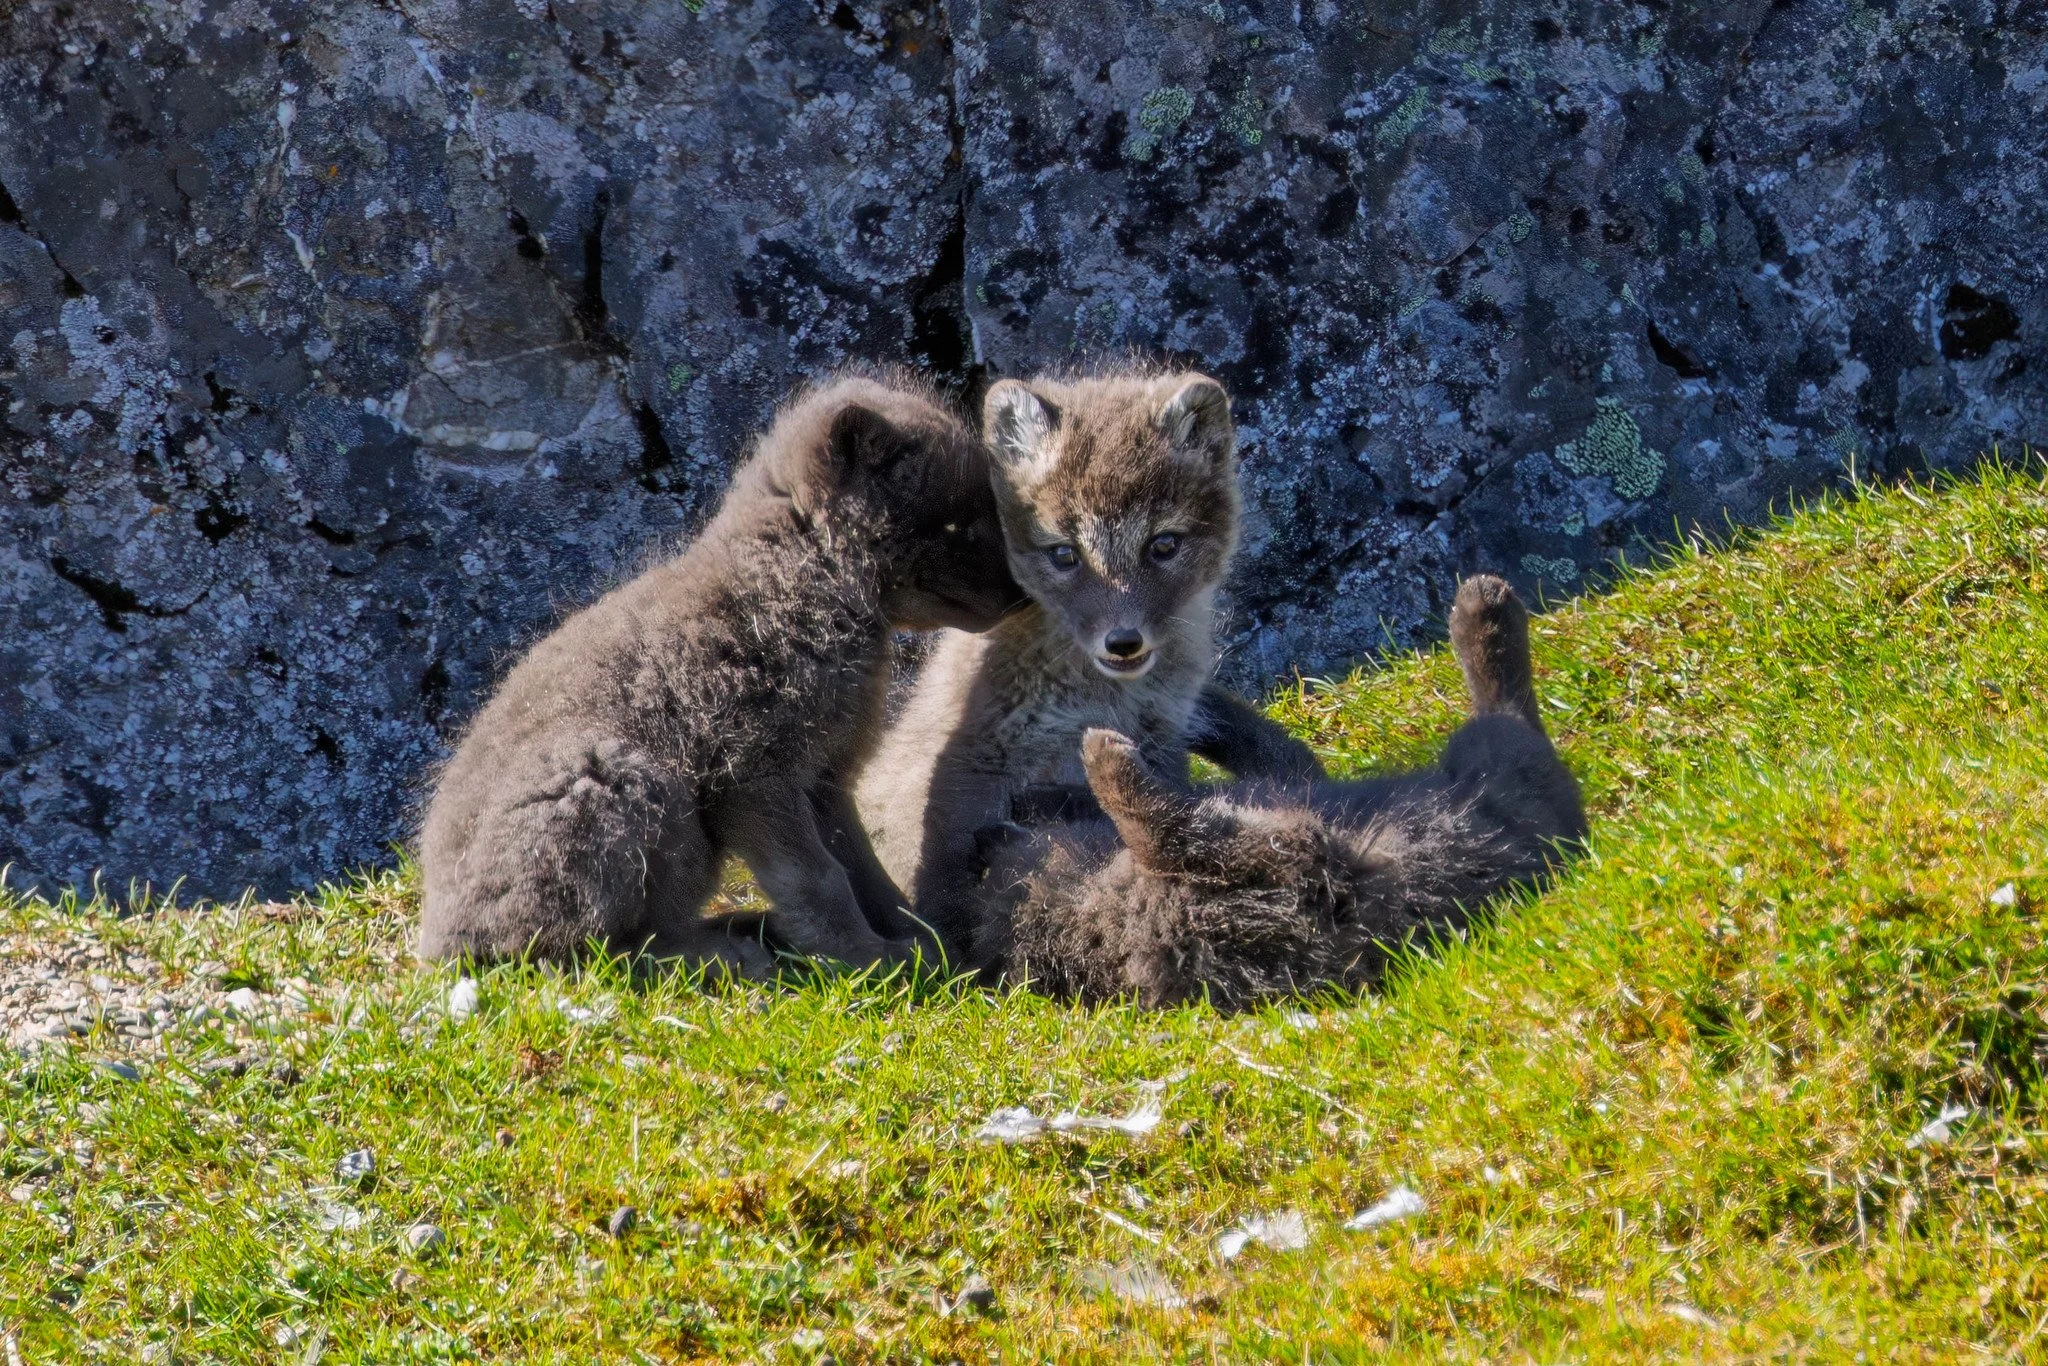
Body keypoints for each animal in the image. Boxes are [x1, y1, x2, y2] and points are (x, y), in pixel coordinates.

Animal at [416, 371, 1025, 975]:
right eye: (957, 522)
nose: (1022, 591)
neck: (803, 580)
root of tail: (437, 947)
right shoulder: (753, 772)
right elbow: (820, 880)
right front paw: (867, 961)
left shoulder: (826, 774)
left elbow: (865, 871)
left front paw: (923, 944)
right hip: (625, 777)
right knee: (590, 955)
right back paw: (729, 954)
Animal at [852, 368, 1323, 957]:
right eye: (1064, 554)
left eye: (1163, 545)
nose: (1122, 642)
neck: (1102, 697)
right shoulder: (978, 755)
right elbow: (944, 873)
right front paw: (954, 953)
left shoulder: (1162, 740)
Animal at [967, 575, 1588, 1011]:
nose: (990, 830)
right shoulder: (1270, 874)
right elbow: (1174, 820)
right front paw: (1105, 755)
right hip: (1498, 765)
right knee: (1509, 716)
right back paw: (1486, 609)